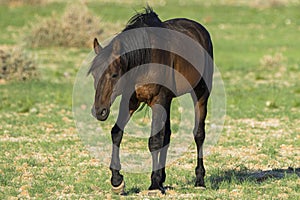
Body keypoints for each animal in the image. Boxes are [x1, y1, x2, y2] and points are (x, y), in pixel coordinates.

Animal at [88, 6, 214, 194]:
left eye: (114, 74)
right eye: (94, 75)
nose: (99, 111)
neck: (145, 60)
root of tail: (199, 29)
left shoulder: (157, 100)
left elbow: (154, 141)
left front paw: (154, 184)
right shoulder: (131, 100)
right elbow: (117, 133)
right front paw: (117, 181)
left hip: (200, 93)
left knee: (199, 134)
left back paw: (199, 180)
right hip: (168, 100)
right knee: (167, 135)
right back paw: (163, 178)